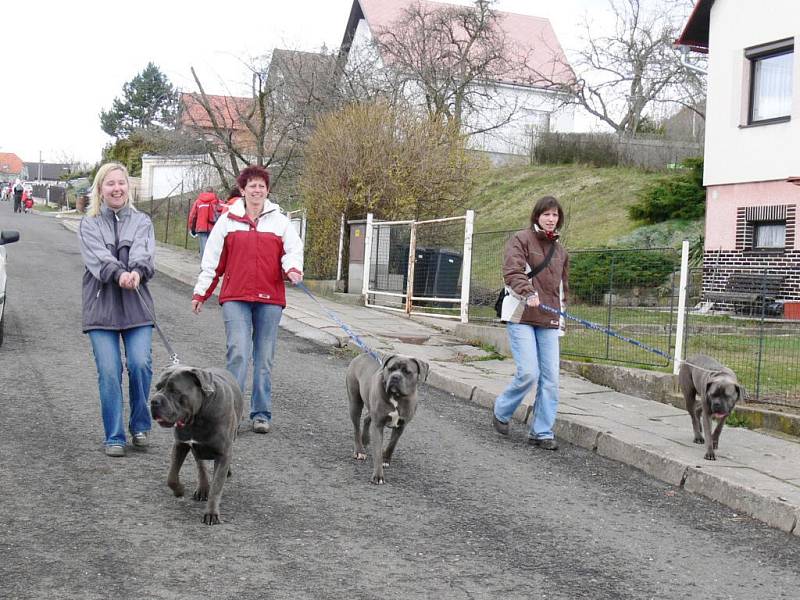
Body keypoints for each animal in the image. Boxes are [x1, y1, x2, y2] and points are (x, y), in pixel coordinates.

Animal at [149, 364, 244, 524]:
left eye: (175, 391)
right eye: (157, 387)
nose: (154, 401)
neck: (198, 416)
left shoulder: (223, 453)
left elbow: (216, 487)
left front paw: (211, 513)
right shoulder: (181, 444)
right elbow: (171, 477)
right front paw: (179, 490)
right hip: (196, 449)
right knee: (201, 466)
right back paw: (203, 488)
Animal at [346, 354, 428, 486]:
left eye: (407, 372)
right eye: (391, 369)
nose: (395, 377)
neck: (397, 397)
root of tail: (361, 355)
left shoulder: (401, 425)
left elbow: (392, 444)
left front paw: (385, 459)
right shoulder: (378, 425)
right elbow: (377, 452)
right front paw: (378, 475)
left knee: (367, 418)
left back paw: (365, 439)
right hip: (355, 403)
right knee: (356, 427)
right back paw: (359, 450)